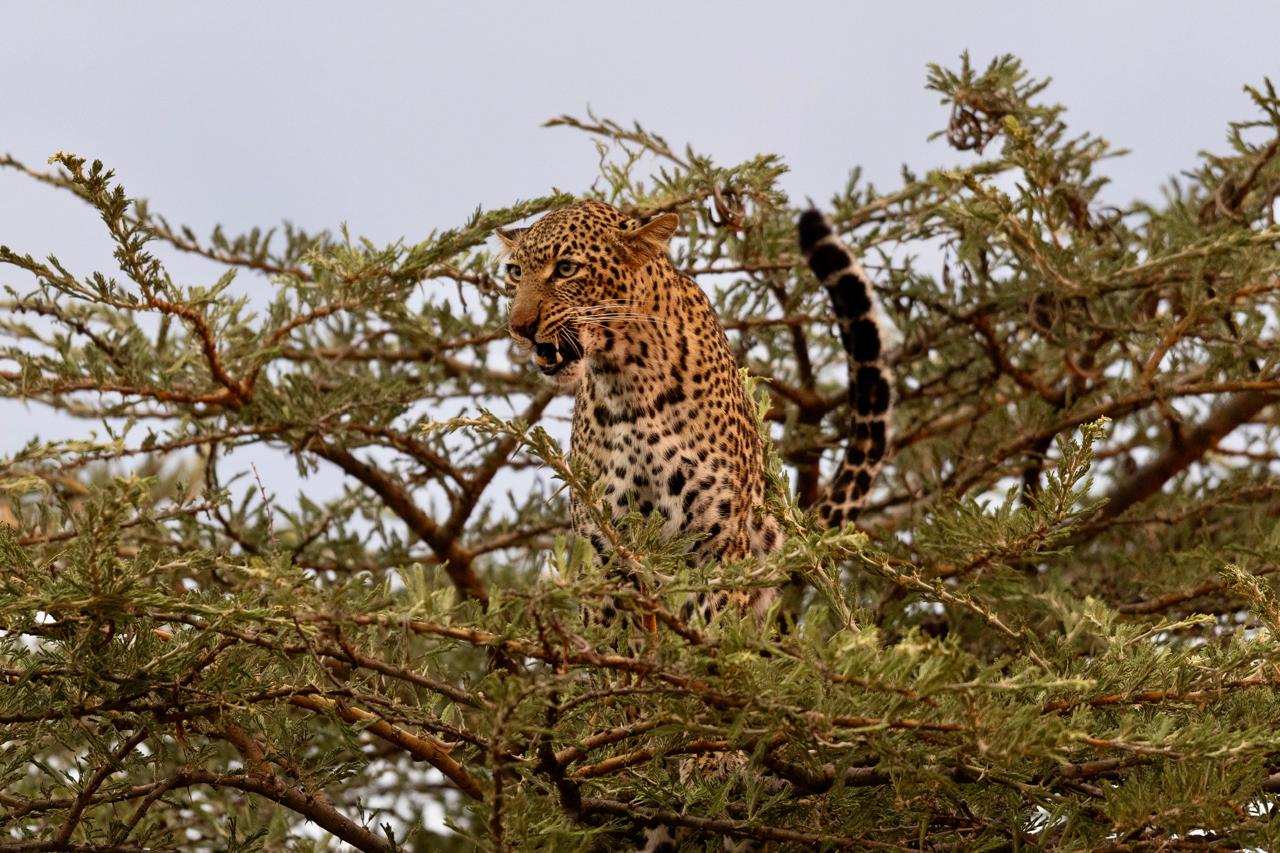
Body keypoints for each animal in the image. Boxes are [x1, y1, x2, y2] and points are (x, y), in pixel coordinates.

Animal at [496, 199, 892, 849]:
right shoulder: (611, 553)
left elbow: (707, 651)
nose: (520, 326)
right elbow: (623, 659)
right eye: (513, 273)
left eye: (566, 269)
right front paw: (627, 745)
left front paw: (705, 755)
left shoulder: (716, 545)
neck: (625, 381)